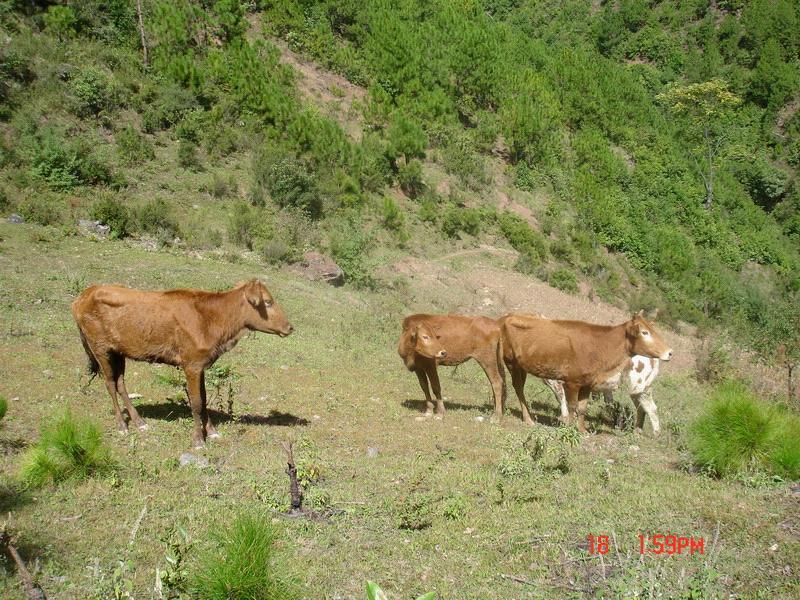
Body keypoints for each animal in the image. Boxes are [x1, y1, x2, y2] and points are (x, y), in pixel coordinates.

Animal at [72, 278, 294, 448]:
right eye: (268, 302)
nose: (290, 327)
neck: (211, 319)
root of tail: (84, 294)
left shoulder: (201, 364)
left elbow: (204, 399)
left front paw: (212, 431)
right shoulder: (191, 365)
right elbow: (195, 403)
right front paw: (199, 440)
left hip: (118, 351)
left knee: (120, 383)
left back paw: (139, 421)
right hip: (100, 348)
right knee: (110, 383)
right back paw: (122, 425)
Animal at [504, 312, 672, 434]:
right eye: (645, 332)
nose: (669, 352)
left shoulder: (567, 382)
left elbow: (568, 401)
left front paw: (570, 422)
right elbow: (574, 404)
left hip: (639, 388)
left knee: (649, 408)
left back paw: (651, 434)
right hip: (639, 390)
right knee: (642, 408)